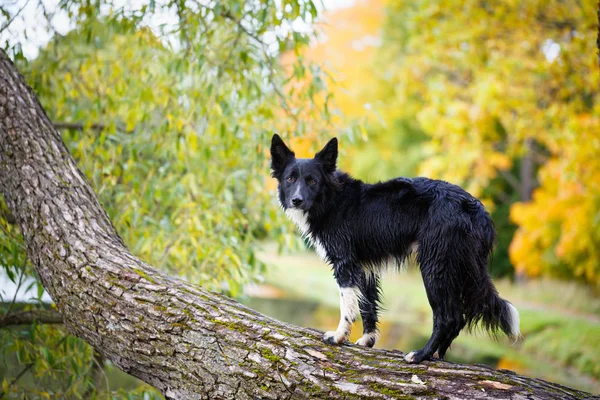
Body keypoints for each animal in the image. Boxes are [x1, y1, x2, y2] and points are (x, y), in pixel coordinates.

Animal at [270, 134, 516, 362]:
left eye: (312, 181)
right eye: (290, 179)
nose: (297, 200)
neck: (331, 199)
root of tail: (477, 209)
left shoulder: (345, 263)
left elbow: (347, 305)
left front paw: (338, 337)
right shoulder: (364, 266)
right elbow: (367, 305)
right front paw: (367, 340)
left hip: (434, 266)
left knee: (449, 317)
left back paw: (421, 355)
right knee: (458, 318)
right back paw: (437, 355)